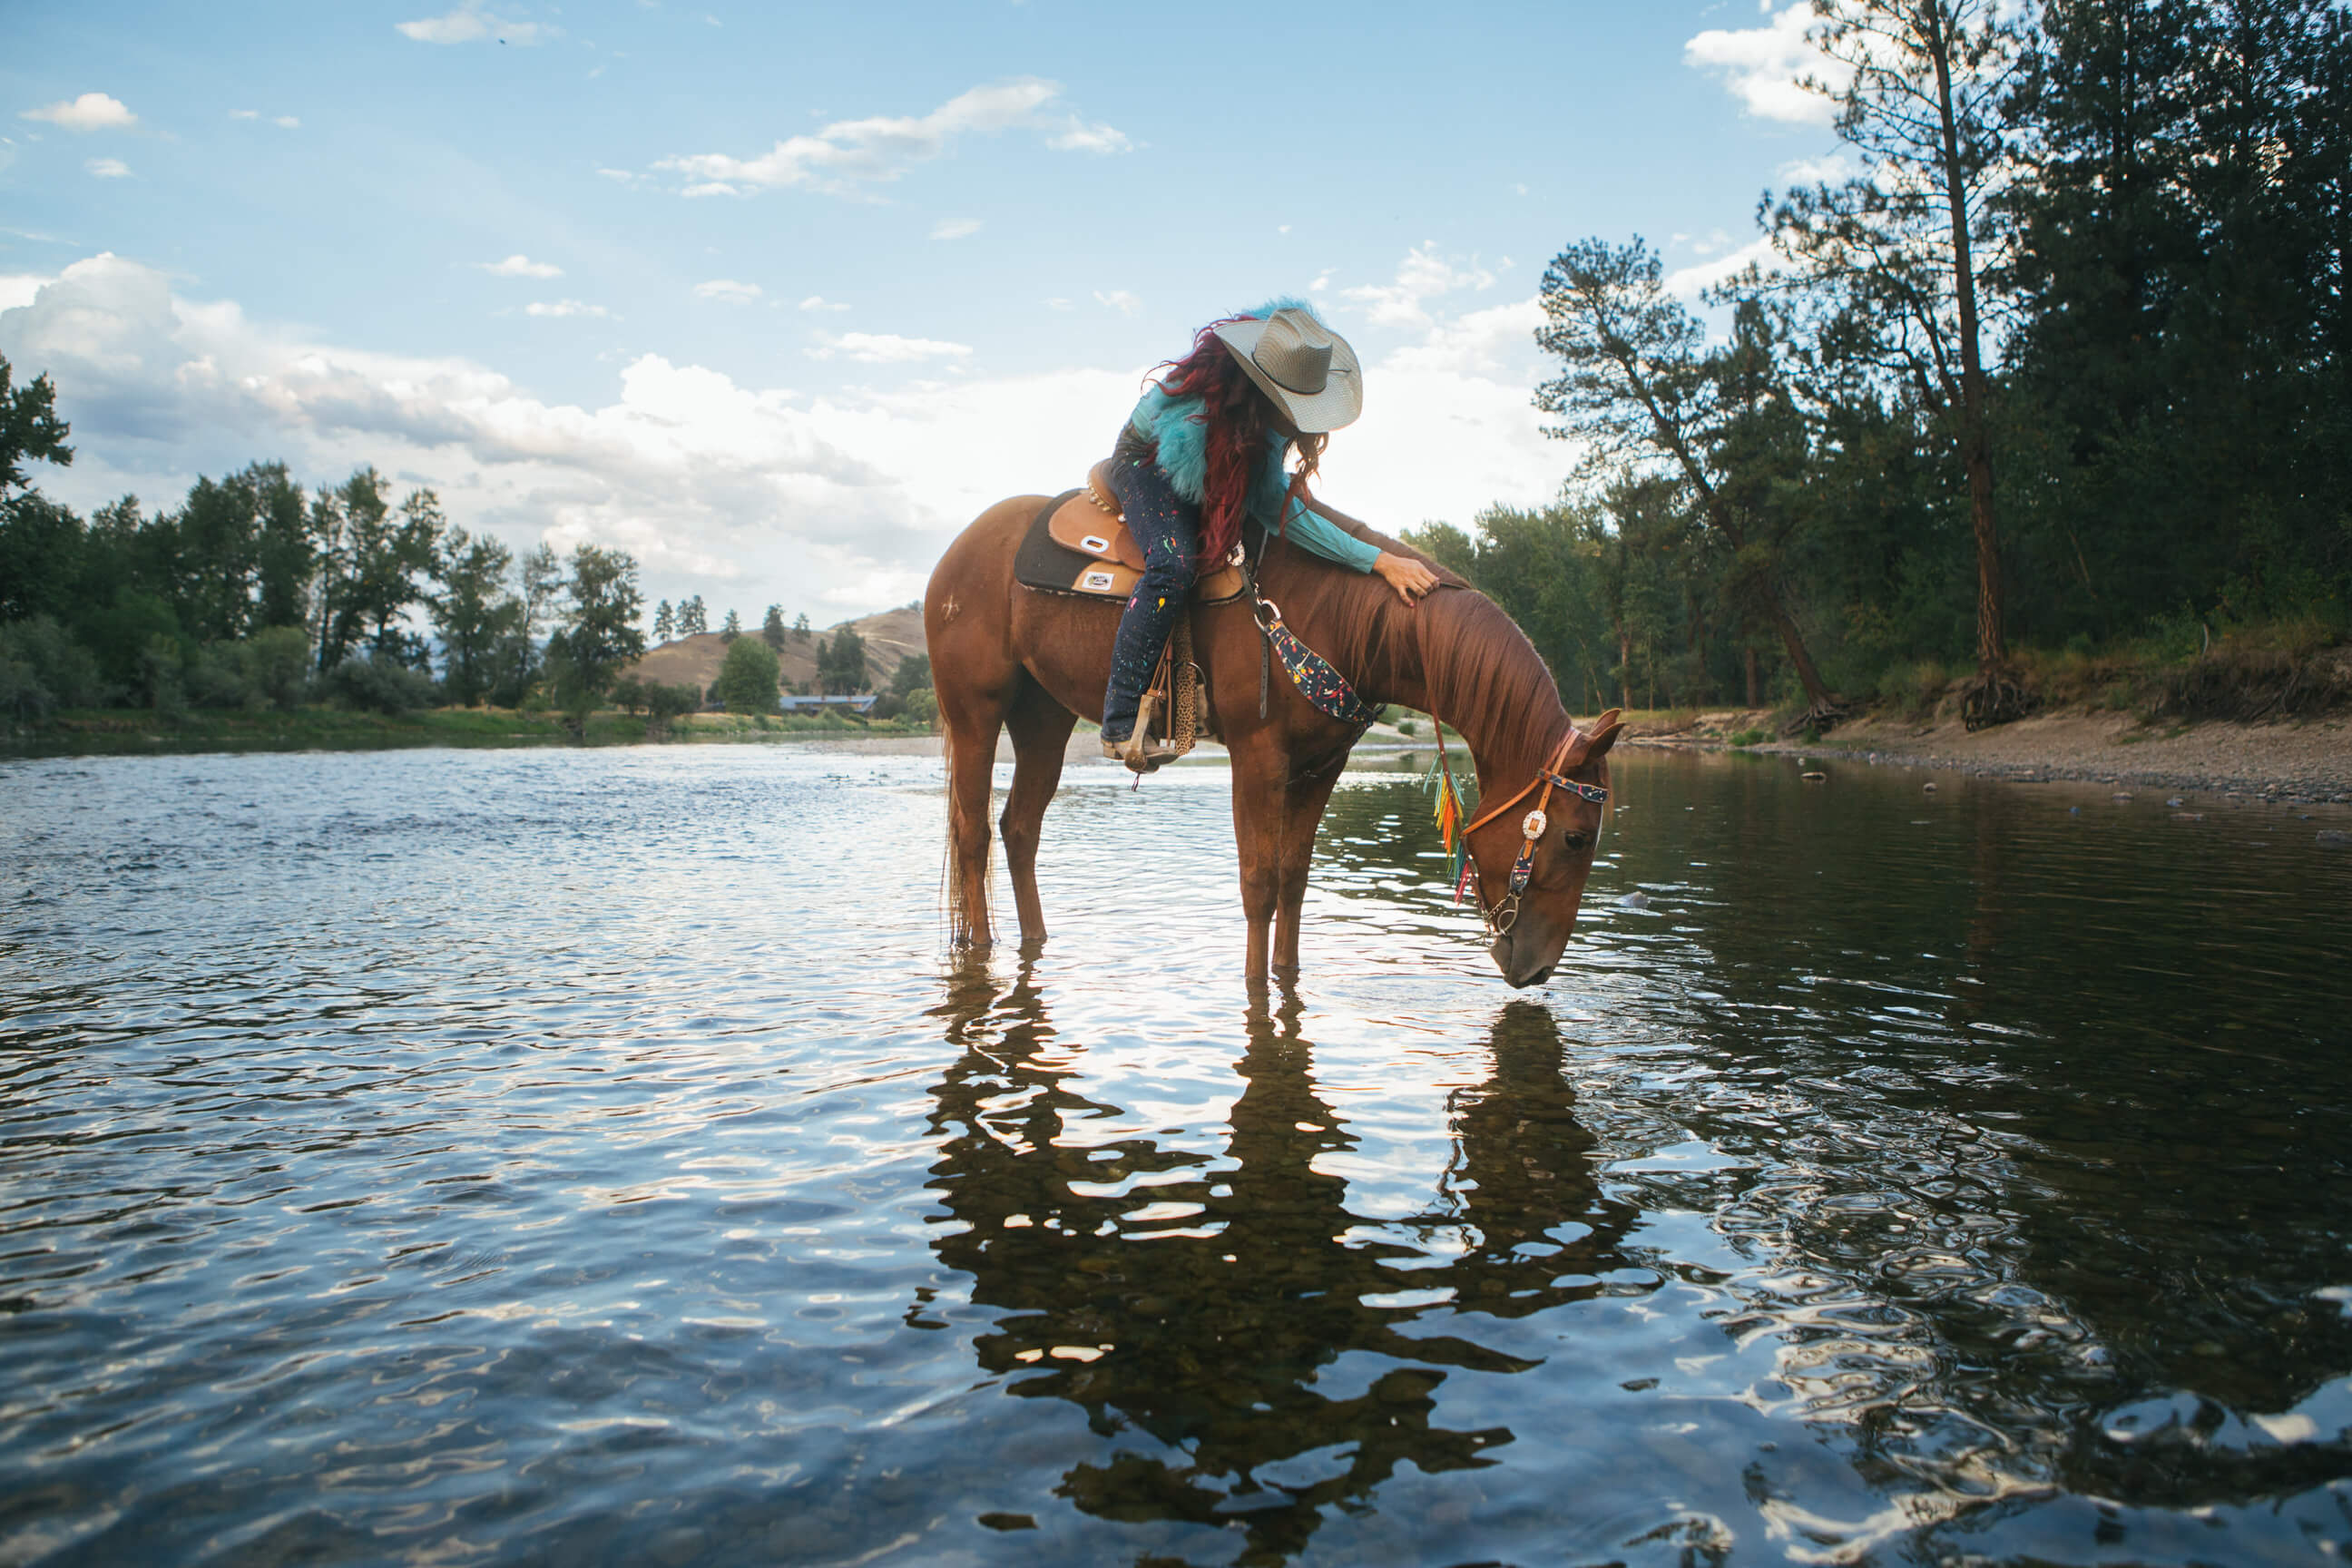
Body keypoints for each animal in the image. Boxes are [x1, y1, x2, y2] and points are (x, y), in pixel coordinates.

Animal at [921, 494, 1625, 987]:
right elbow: (1258, 881)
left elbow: (1293, 878)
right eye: (1575, 837)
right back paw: (978, 947)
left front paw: (1288, 978)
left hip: (1042, 718)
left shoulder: (1321, 766)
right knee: (973, 832)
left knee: (1019, 828)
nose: (1538, 970)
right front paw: (1255, 987)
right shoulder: (1257, 759)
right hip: (976, 711)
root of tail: (958, 552)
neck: (1338, 613)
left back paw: (1034, 942)